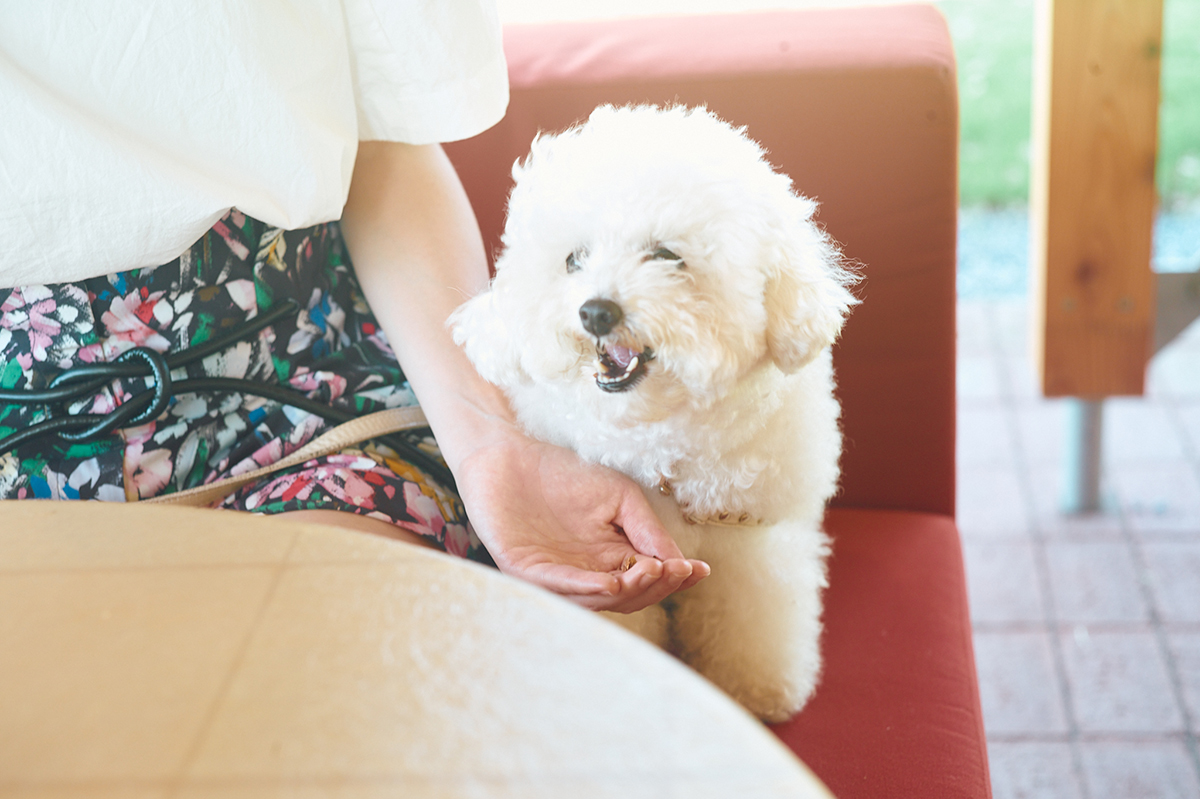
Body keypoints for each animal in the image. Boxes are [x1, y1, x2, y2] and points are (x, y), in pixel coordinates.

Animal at [448, 102, 854, 719]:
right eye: (574, 259)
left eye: (666, 256)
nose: (596, 312)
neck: (659, 437)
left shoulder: (755, 540)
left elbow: (755, 613)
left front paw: (757, 688)